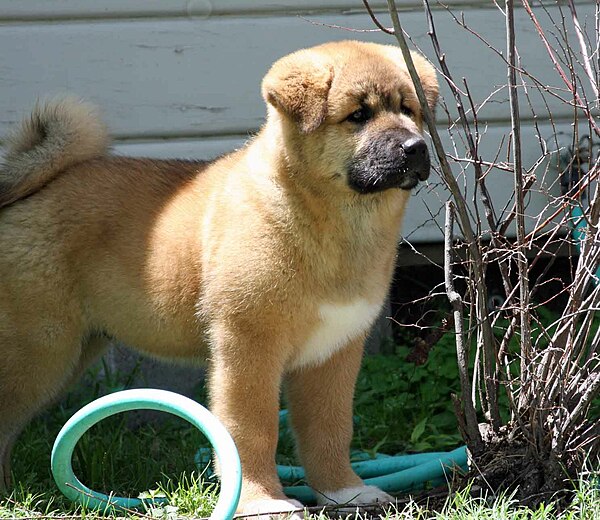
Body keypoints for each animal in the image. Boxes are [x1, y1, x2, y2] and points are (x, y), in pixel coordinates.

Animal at [0, 41, 436, 516]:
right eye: (358, 115)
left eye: (409, 109)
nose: (416, 147)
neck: (327, 220)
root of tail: (34, 192)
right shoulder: (247, 347)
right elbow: (253, 430)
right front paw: (262, 501)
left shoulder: (333, 351)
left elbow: (331, 430)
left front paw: (345, 491)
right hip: (40, 350)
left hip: (74, 350)